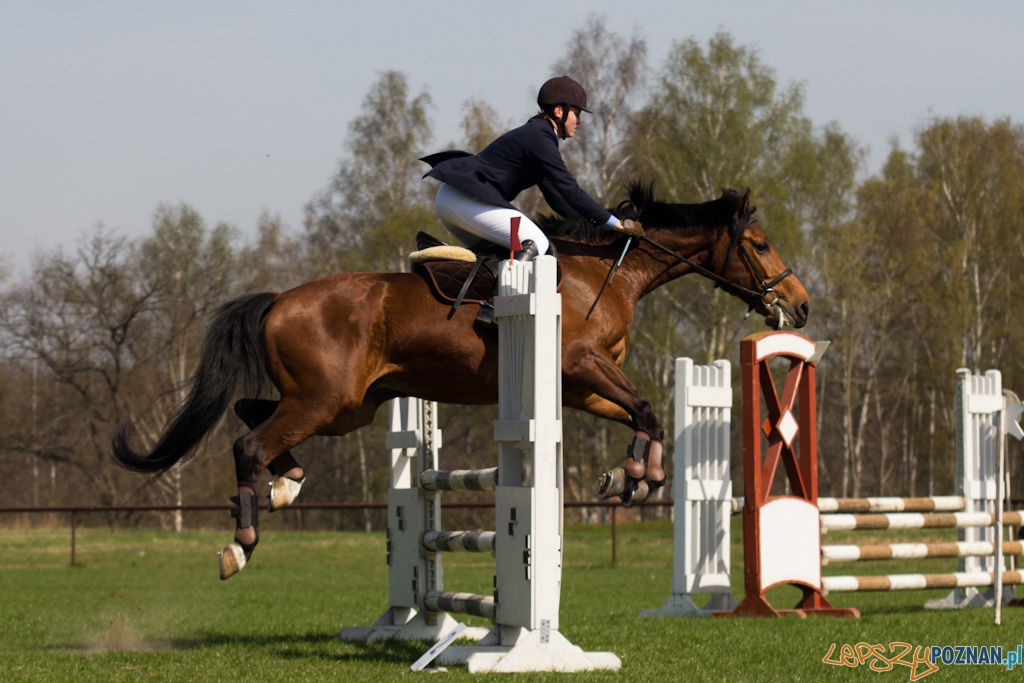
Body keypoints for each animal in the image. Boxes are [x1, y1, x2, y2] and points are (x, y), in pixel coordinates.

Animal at [114, 184, 806, 581]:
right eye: (760, 244)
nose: (799, 308)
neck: (602, 272)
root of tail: (281, 299)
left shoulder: (578, 385)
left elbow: (643, 411)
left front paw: (631, 477)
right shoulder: (582, 364)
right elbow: (645, 405)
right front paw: (640, 475)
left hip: (348, 407)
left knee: (250, 415)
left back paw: (288, 484)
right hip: (326, 400)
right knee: (247, 443)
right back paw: (242, 544)